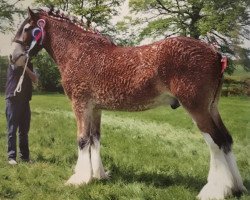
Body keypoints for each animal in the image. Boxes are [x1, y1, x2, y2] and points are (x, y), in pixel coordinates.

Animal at [10, 7, 246, 199]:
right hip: (211, 108)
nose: (13, 57)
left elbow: (82, 140)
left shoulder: (80, 105)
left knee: (215, 142)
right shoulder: (95, 109)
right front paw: (98, 176)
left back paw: (214, 191)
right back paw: (236, 188)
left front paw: (78, 179)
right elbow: (95, 139)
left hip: (197, 108)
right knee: (226, 140)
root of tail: (215, 53)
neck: (79, 52)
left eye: (27, 28)